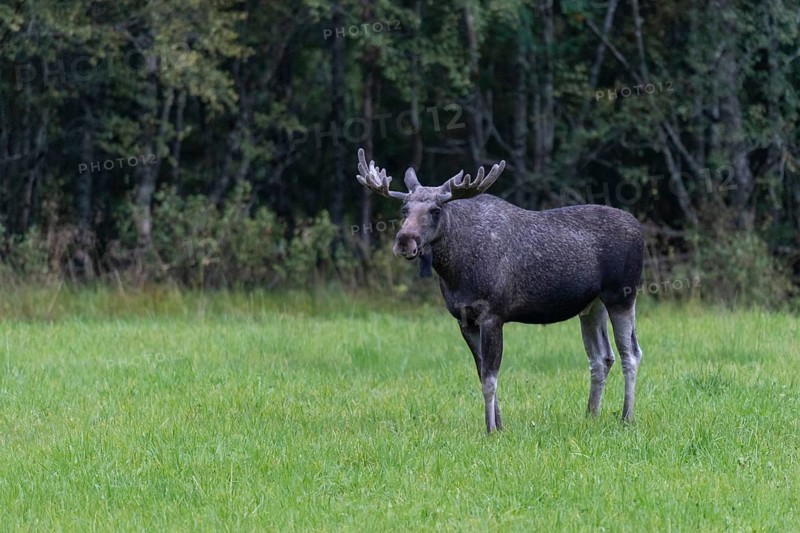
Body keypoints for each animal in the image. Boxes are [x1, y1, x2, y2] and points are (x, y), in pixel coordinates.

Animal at [355, 148, 645, 434]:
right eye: (404, 208)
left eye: (436, 209)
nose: (405, 241)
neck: (455, 272)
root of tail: (640, 229)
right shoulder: (464, 319)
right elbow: (481, 372)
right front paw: (499, 424)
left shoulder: (493, 314)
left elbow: (490, 378)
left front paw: (491, 429)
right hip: (591, 306)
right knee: (601, 358)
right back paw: (590, 416)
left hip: (622, 294)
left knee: (630, 353)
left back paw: (627, 417)